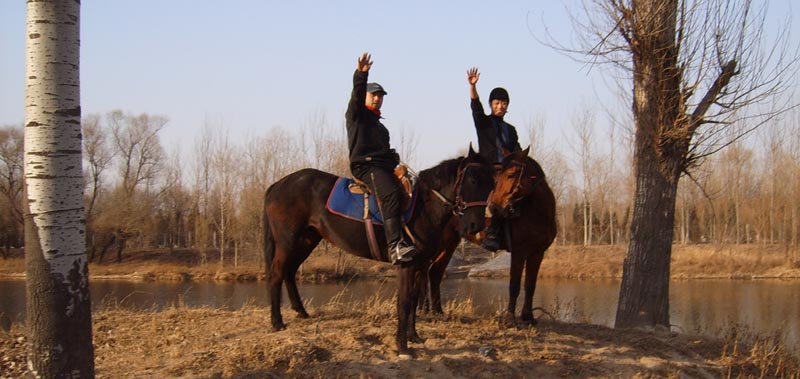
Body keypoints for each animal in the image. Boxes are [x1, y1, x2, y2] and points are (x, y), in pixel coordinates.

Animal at [266, 146, 496, 356]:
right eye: (473, 180)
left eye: (491, 184)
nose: (476, 225)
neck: (425, 207)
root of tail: (277, 185)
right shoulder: (407, 265)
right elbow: (404, 301)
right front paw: (402, 346)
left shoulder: (419, 265)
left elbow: (413, 300)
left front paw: (413, 337)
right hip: (288, 241)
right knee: (277, 274)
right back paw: (277, 322)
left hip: (307, 239)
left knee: (290, 272)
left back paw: (301, 312)